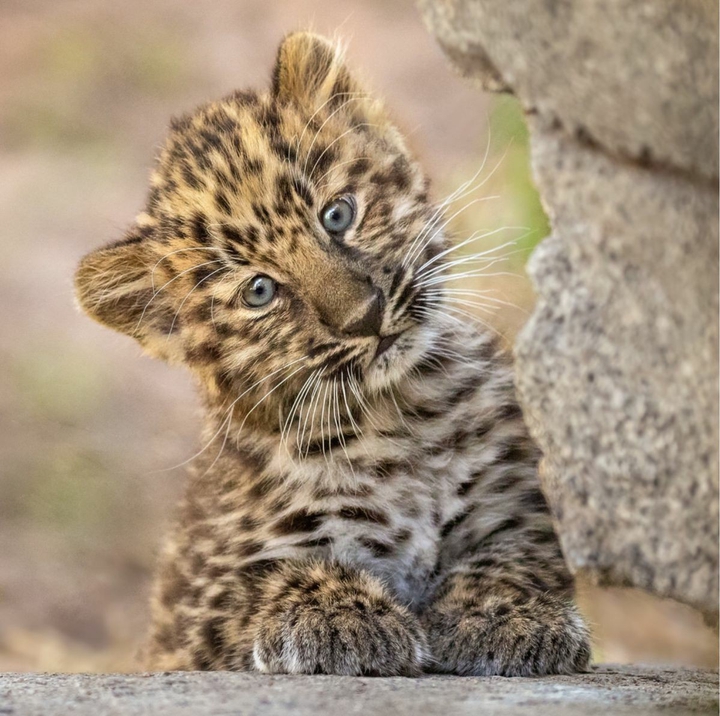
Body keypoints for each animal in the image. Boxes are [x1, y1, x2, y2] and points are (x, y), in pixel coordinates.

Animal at [74, 31, 591, 677]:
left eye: (338, 214)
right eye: (259, 291)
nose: (364, 316)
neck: (403, 416)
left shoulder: (518, 506)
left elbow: (515, 557)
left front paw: (506, 616)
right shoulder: (200, 604)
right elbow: (274, 573)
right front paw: (342, 616)